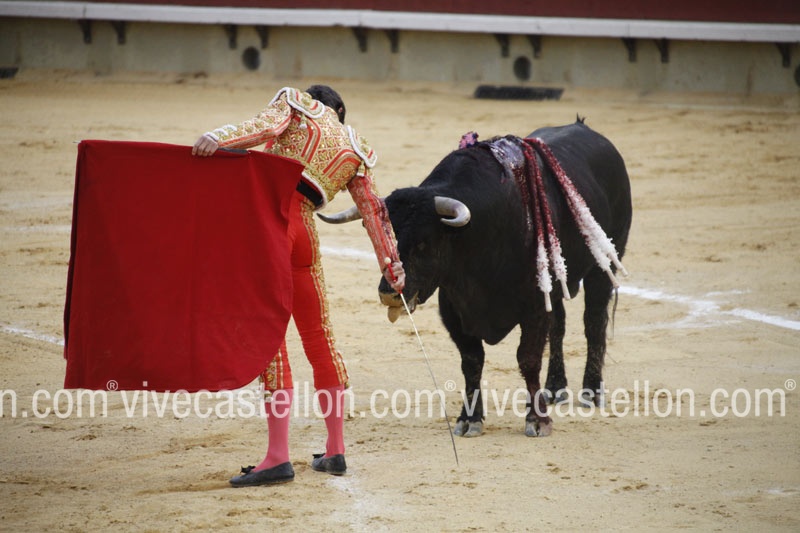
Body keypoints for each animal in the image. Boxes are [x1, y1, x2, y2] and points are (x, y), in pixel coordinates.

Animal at [319, 119, 632, 438]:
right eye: (381, 239)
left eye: (423, 243)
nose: (389, 293)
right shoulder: (454, 310)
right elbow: (472, 362)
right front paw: (469, 419)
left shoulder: (533, 307)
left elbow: (528, 358)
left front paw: (537, 420)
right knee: (558, 325)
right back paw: (555, 387)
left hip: (605, 262)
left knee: (593, 322)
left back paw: (591, 391)